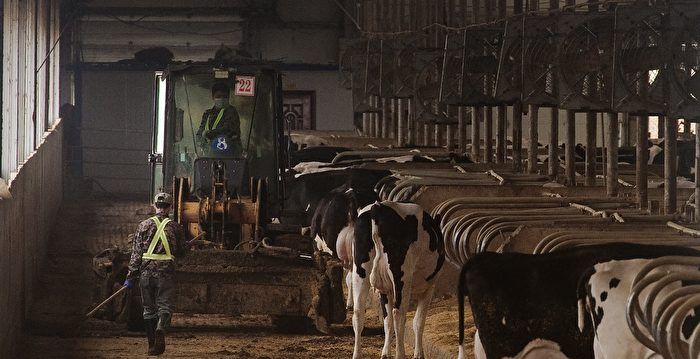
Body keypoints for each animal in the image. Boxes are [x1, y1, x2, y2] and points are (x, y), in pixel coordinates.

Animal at [352, 202, 446, 359]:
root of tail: (379, 206)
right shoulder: (429, 287)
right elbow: (418, 321)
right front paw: (418, 354)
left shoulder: (385, 289)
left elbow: (387, 320)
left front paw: (385, 353)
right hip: (402, 276)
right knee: (399, 314)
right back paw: (400, 354)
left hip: (360, 271)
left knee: (358, 312)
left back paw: (357, 354)